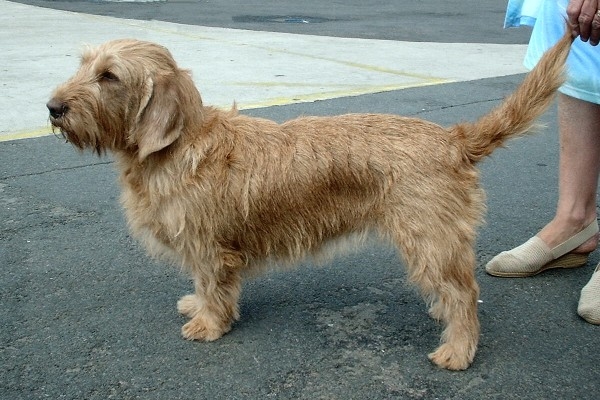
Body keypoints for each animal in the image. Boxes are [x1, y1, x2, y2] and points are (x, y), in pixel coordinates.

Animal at [47, 32, 572, 372]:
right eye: (83, 64)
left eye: (109, 76)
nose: (52, 108)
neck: (178, 145)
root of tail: (452, 139)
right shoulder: (204, 246)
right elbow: (203, 285)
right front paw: (196, 306)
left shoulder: (209, 246)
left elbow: (215, 286)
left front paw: (209, 324)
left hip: (430, 242)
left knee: (464, 295)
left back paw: (457, 351)